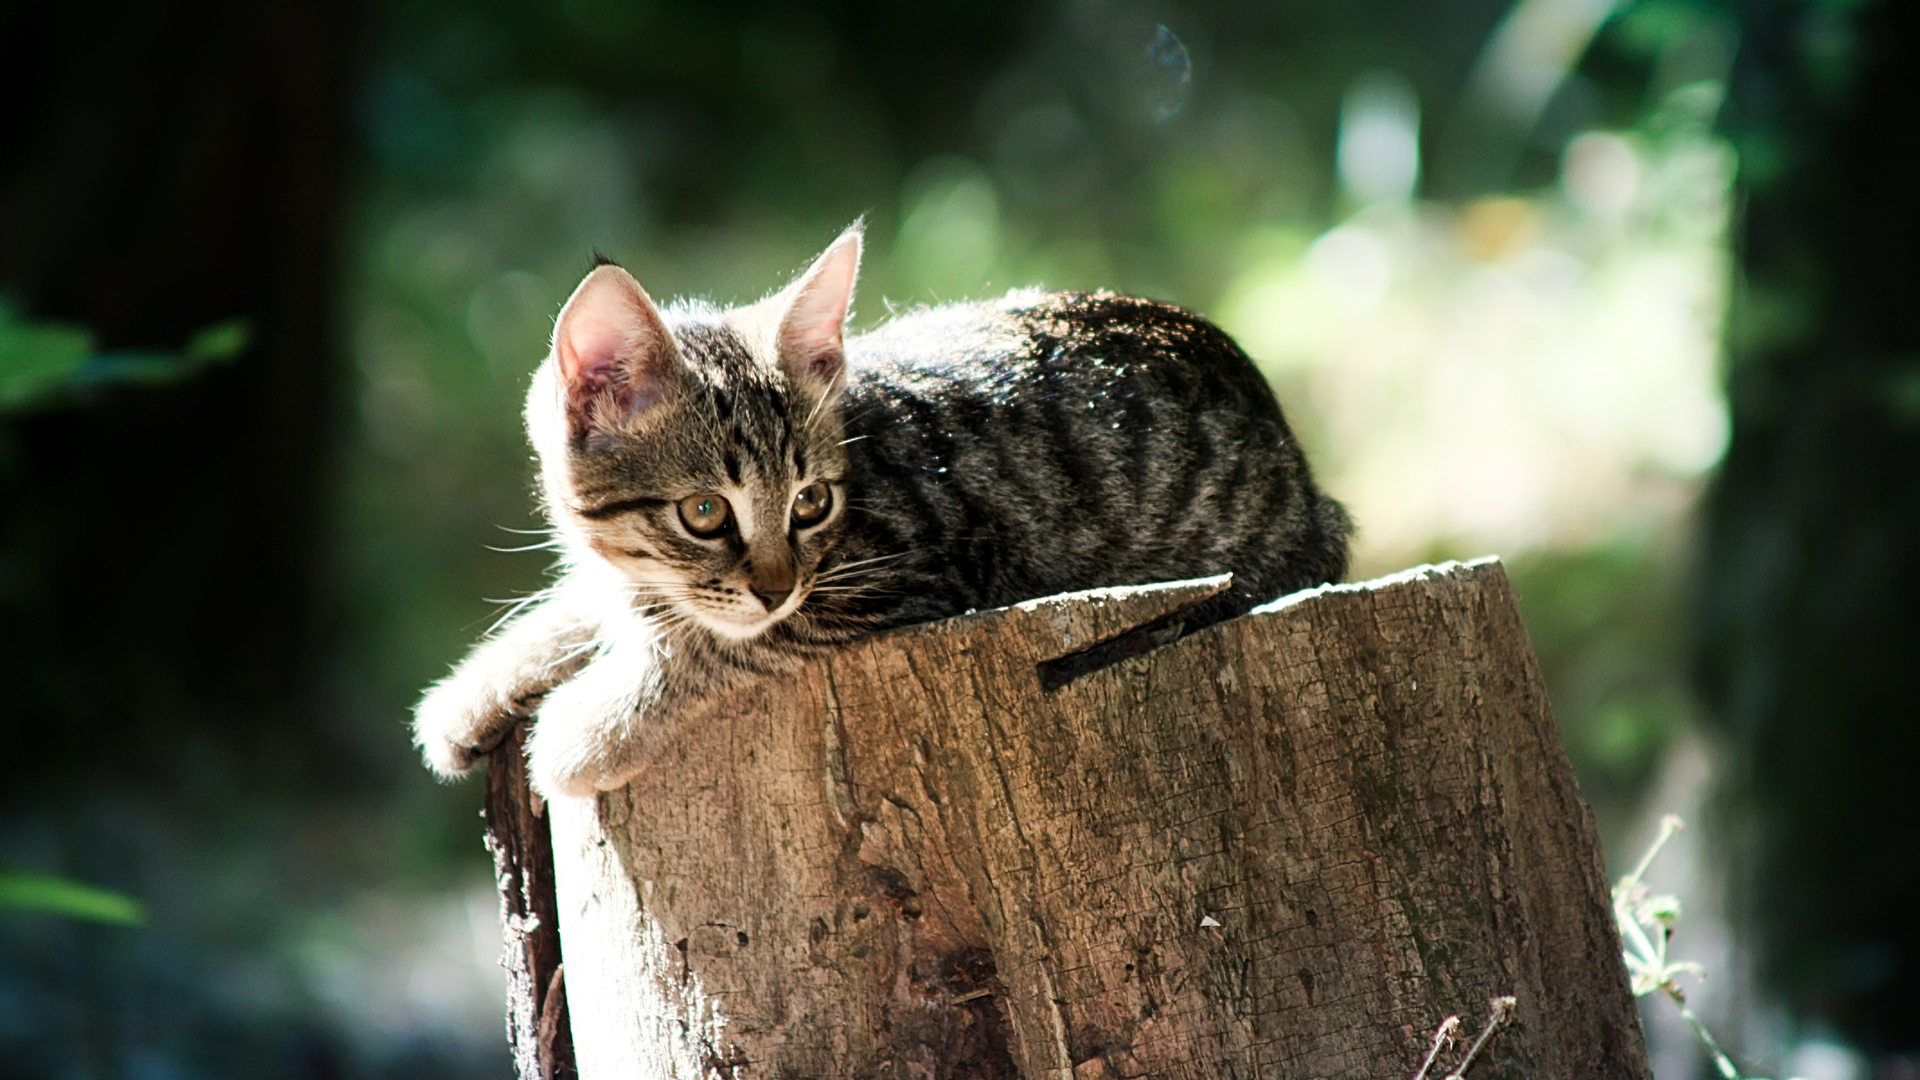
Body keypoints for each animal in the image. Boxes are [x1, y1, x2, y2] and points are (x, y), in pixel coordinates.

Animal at [420, 222, 1351, 795]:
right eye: (705, 513)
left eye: (810, 503)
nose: (775, 585)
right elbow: (596, 602)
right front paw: (476, 689)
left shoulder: (905, 575)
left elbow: (726, 646)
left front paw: (584, 731)